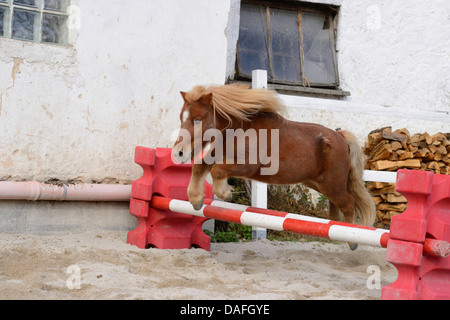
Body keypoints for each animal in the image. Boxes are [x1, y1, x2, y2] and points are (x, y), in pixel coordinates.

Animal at [172, 84, 376, 249]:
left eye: (198, 120)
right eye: (181, 118)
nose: (178, 153)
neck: (241, 128)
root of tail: (340, 136)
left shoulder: (247, 166)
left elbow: (217, 171)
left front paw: (225, 193)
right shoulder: (218, 155)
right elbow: (199, 167)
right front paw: (196, 200)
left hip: (332, 184)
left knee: (349, 203)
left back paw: (351, 239)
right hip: (319, 183)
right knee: (338, 206)